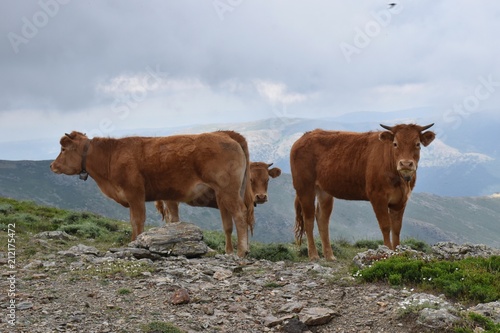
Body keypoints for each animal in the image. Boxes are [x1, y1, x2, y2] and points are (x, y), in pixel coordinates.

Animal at [51, 130, 254, 256]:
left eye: (63, 149)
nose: (52, 165)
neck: (110, 158)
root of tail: (224, 134)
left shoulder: (135, 194)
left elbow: (138, 221)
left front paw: (136, 244)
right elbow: (133, 222)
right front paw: (133, 242)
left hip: (228, 190)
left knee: (240, 214)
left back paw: (241, 252)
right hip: (222, 193)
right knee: (228, 222)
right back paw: (230, 252)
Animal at [292, 123, 436, 260]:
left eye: (417, 144)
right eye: (395, 144)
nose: (405, 164)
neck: (400, 180)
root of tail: (305, 136)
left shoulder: (401, 200)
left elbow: (396, 228)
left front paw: (398, 251)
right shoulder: (377, 197)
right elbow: (385, 226)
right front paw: (387, 251)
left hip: (324, 191)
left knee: (322, 219)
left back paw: (329, 256)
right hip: (305, 187)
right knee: (308, 218)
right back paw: (313, 255)